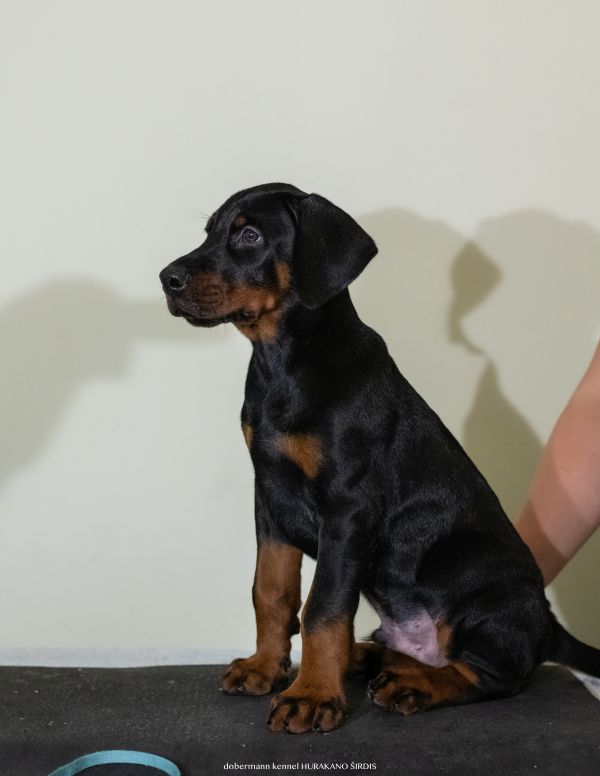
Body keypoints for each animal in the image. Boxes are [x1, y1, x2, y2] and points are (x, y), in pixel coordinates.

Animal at [160, 183, 600, 734]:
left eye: (250, 235)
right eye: (210, 232)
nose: (166, 279)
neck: (283, 361)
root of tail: (546, 621)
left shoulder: (348, 506)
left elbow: (324, 607)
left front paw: (311, 696)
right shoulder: (270, 494)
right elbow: (271, 590)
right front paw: (265, 667)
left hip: (476, 580)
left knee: (493, 673)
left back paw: (414, 684)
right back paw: (369, 660)